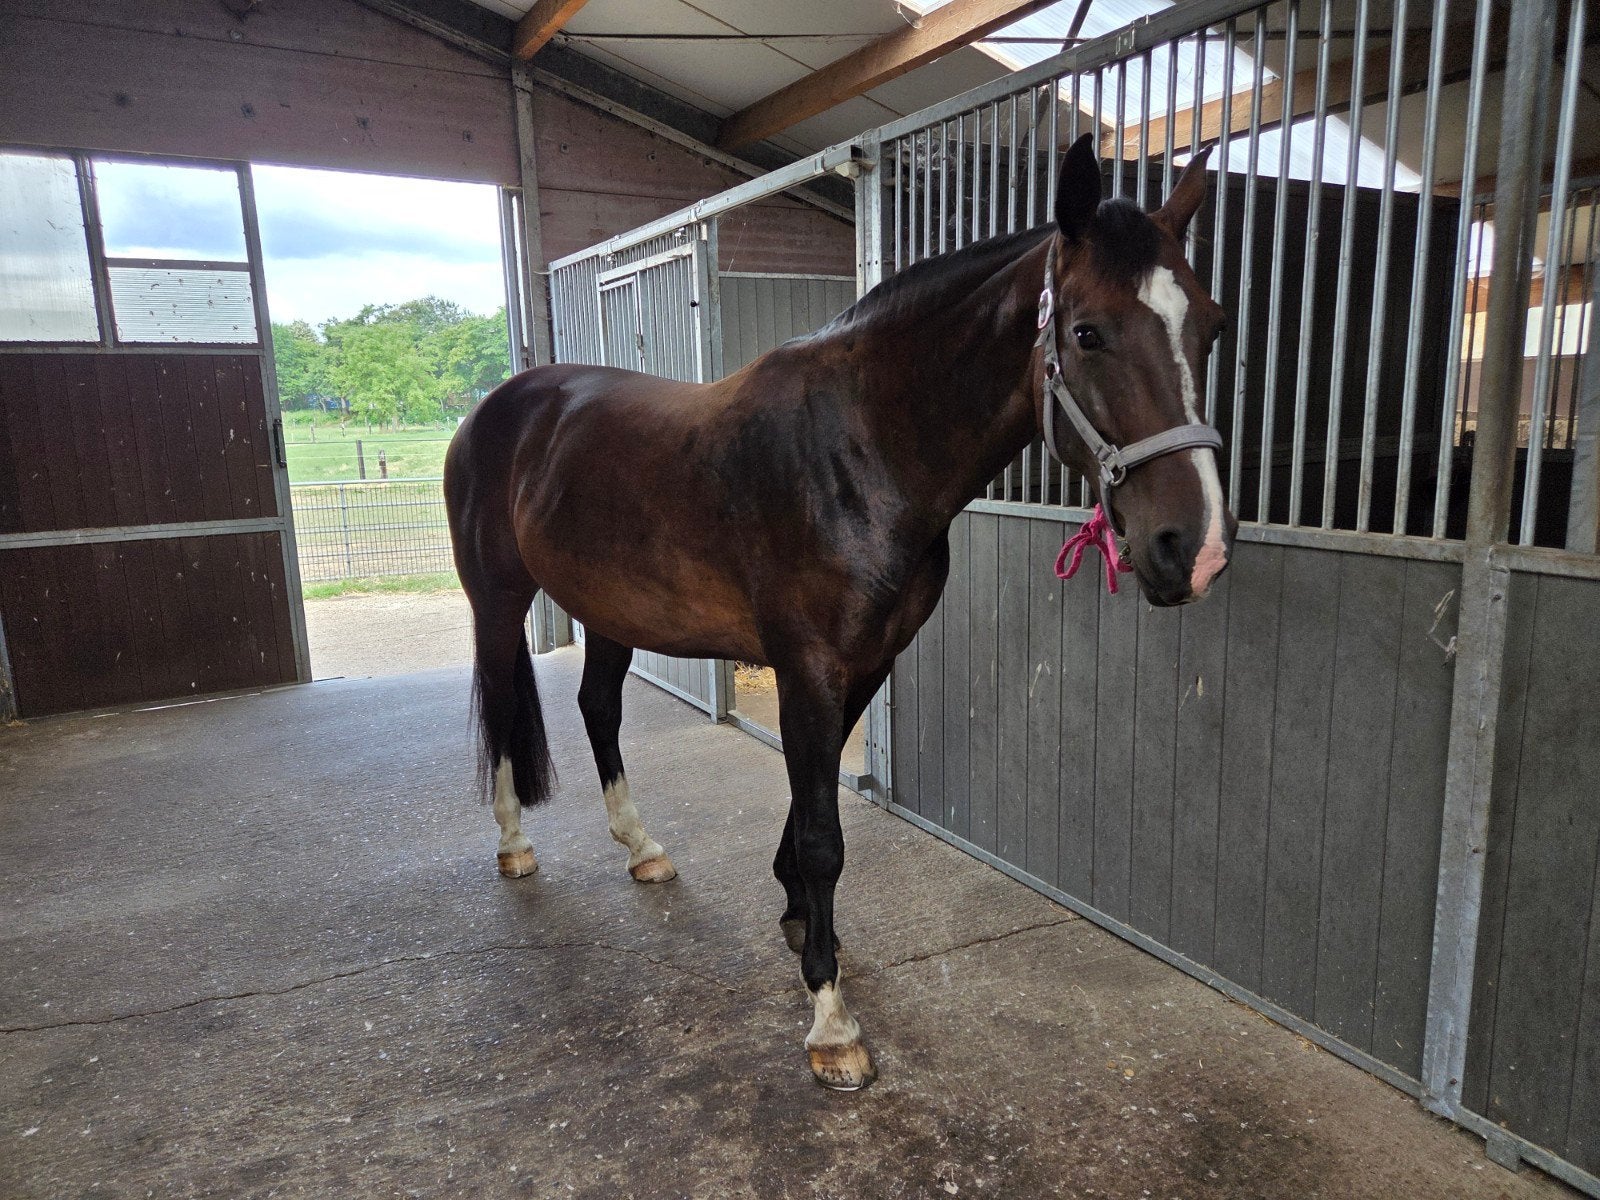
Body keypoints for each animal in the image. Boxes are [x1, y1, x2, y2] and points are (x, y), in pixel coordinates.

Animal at [443, 133, 1236, 1091]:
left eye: (1212, 324)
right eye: (1087, 332)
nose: (1196, 547)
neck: (862, 447)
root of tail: (498, 406)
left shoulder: (867, 659)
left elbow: (809, 808)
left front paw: (799, 922)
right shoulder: (810, 665)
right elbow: (824, 831)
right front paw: (830, 1020)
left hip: (611, 612)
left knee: (598, 708)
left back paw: (642, 848)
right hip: (497, 598)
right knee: (502, 701)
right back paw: (514, 843)